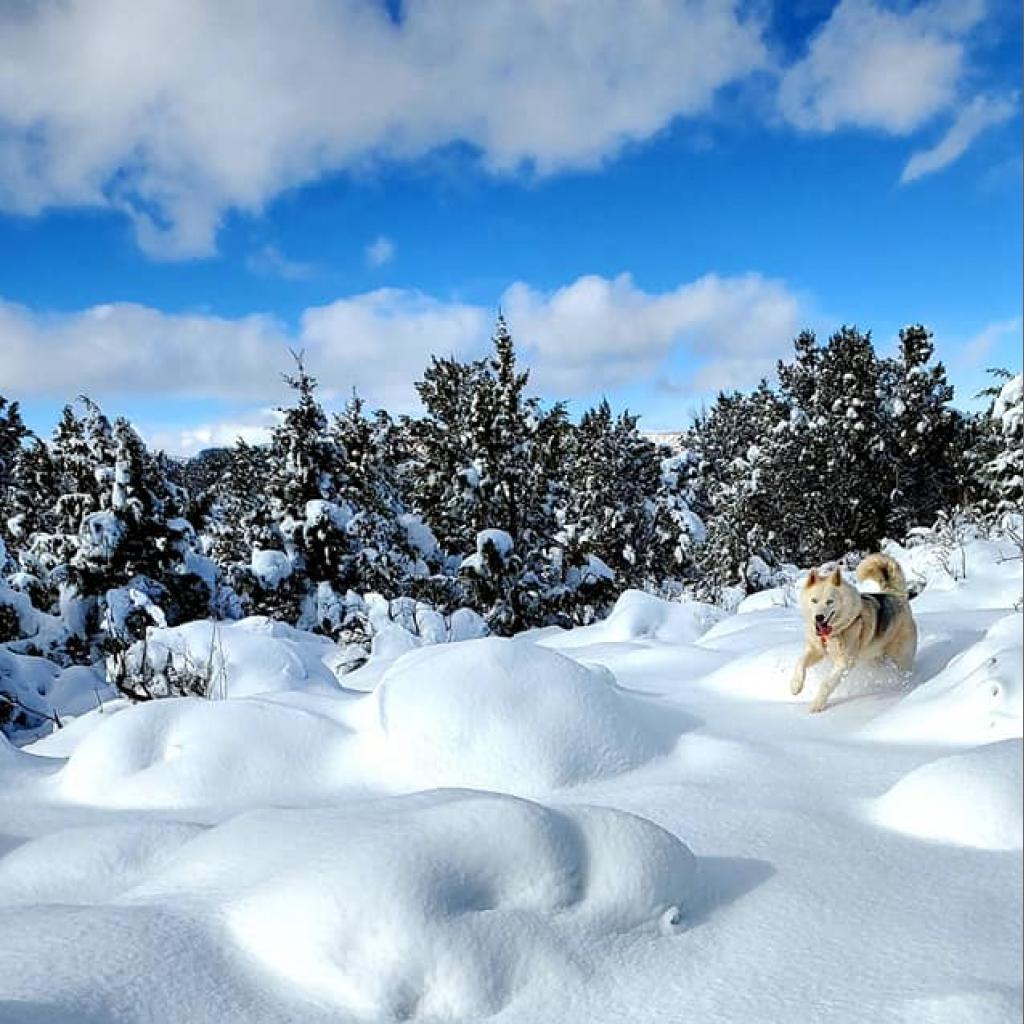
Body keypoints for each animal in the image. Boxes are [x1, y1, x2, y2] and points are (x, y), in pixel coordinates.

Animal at [790, 552, 921, 712]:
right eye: (814, 600)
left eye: (830, 601)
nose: (819, 617)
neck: (834, 632)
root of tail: (896, 596)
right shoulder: (816, 651)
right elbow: (799, 663)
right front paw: (795, 685)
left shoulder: (844, 662)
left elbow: (826, 684)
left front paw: (817, 705)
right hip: (876, 657)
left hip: (900, 658)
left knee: (904, 671)